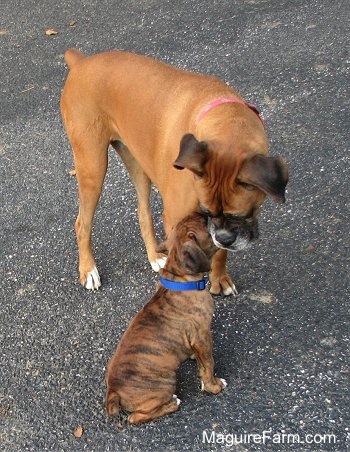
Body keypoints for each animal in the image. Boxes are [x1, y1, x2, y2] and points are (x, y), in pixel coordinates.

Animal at [60, 49, 288, 294]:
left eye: (242, 214)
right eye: (207, 212)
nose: (224, 238)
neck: (224, 118)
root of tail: (81, 62)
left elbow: (220, 253)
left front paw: (219, 278)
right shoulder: (176, 221)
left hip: (137, 163)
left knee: (143, 212)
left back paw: (154, 255)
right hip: (93, 166)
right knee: (82, 223)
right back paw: (88, 270)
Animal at [105, 213, 226, 424]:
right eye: (205, 223)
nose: (209, 213)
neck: (180, 279)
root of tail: (114, 392)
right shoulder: (202, 336)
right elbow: (209, 364)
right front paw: (213, 386)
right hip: (165, 384)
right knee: (136, 417)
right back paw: (172, 403)